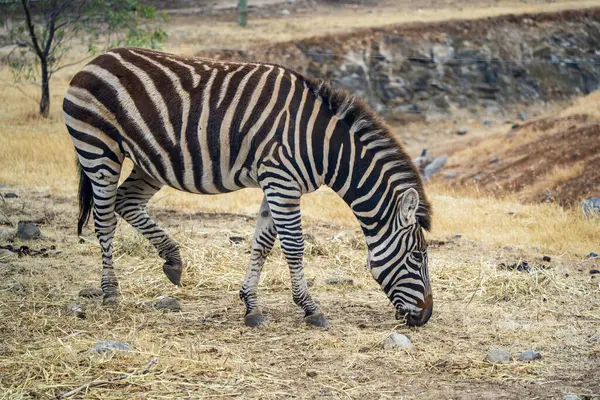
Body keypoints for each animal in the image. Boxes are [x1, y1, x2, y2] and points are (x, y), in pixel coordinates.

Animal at [63, 47, 434, 328]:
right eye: (418, 256)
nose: (426, 316)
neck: (325, 145)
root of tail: (97, 59)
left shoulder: (279, 184)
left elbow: (263, 244)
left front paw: (251, 305)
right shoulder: (281, 181)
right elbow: (294, 246)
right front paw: (310, 308)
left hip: (150, 162)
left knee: (126, 202)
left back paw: (173, 260)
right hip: (99, 147)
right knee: (105, 220)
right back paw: (111, 292)